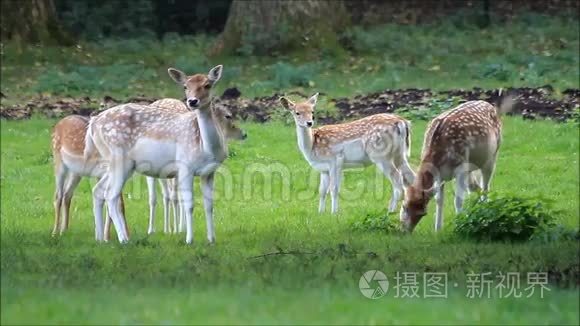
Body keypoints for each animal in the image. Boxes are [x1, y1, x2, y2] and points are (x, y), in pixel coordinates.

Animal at [85, 65, 239, 243]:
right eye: (185, 86)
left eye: (207, 85)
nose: (192, 101)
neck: (206, 148)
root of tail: (93, 123)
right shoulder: (185, 167)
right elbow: (190, 204)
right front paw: (189, 240)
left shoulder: (209, 171)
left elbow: (209, 205)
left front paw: (211, 240)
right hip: (118, 159)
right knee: (110, 195)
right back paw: (123, 239)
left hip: (116, 164)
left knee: (98, 190)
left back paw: (100, 238)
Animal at [278, 93, 414, 214]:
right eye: (297, 113)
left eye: (312, 112)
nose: (309, 123)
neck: (312, 146)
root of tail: (402, 122)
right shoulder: (323, 169)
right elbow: (322, 191)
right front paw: (320, 213)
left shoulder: (334, 160)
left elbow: (333, 189)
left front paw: (334, 213)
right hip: (399, 153)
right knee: (411, 177)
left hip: (380, 154)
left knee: (398, 181)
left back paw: (391, 211)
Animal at [398, 98, 512, 232]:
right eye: (404, 206)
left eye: (423, 213)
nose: (405, 231)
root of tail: (490, 105)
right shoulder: (440, 175)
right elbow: (439, 199)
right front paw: (438, 230)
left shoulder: (461, 168)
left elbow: (458, 200)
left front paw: (459, 225)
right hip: (471, 168)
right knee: (475, 187)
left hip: (492, 155)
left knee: (485, 187)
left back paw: (486, 212)